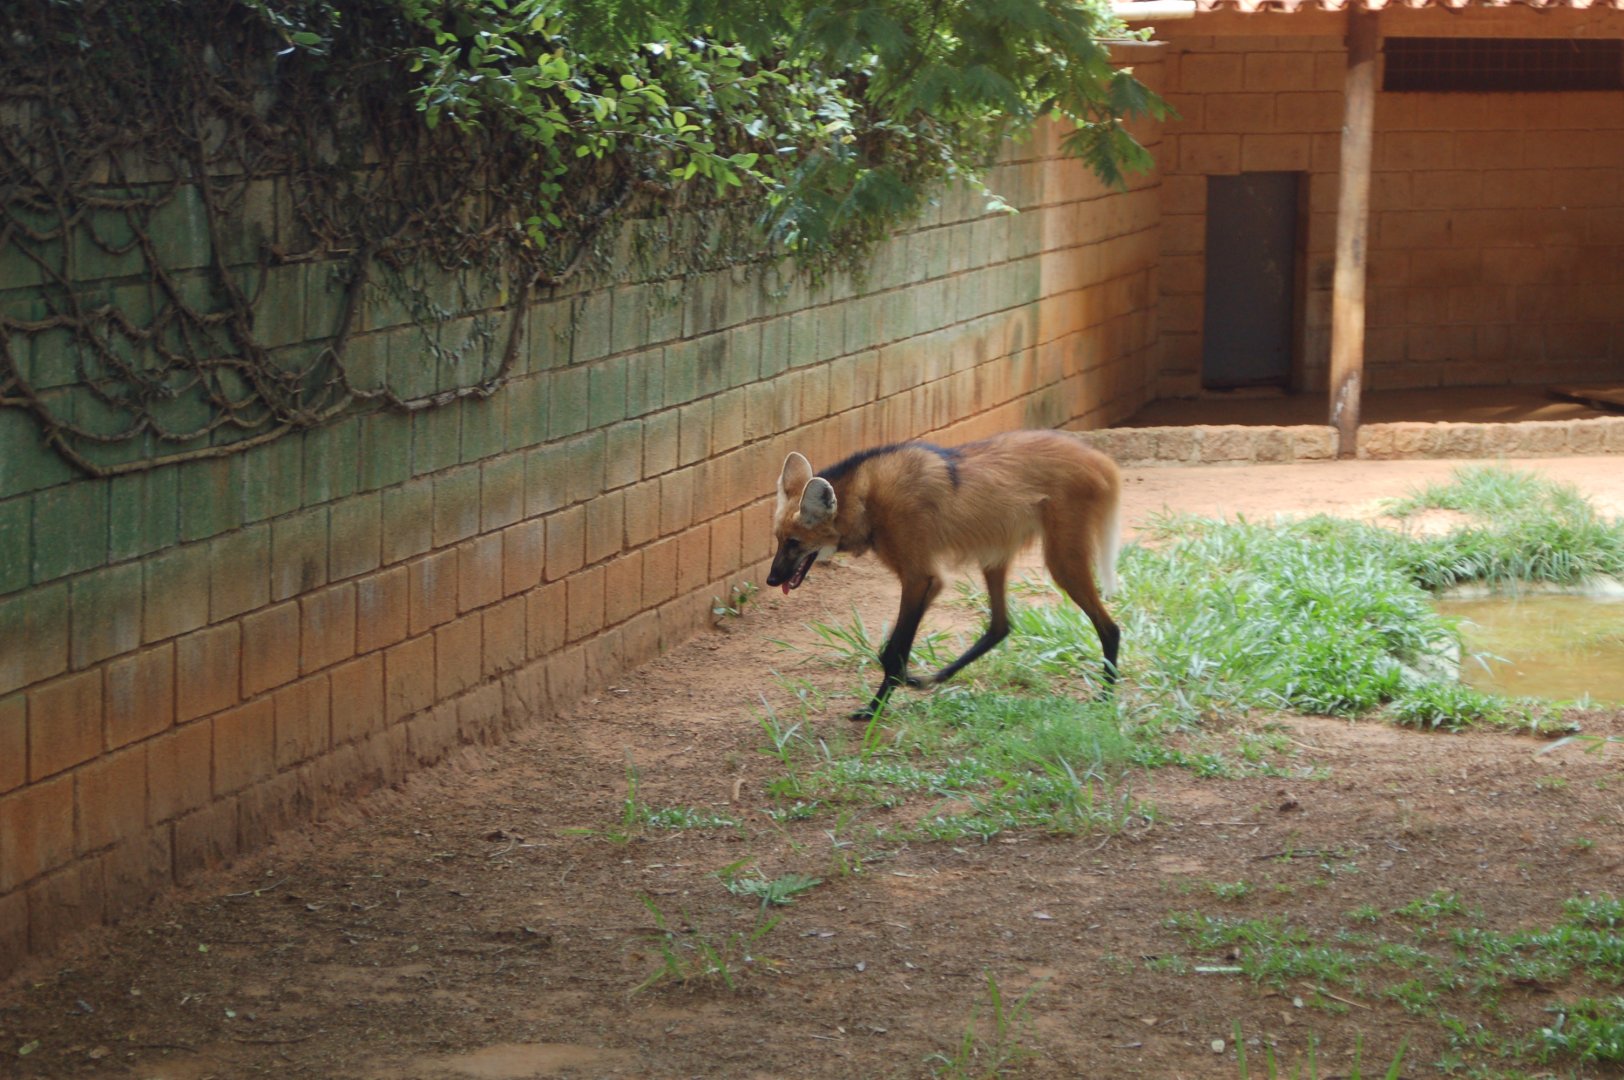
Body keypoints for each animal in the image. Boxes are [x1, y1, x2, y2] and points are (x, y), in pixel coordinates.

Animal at [767, 430, 1122, 720]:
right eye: (778, 539)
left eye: (794, 543)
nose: (771, 580)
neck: (866, 500)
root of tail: (1101, 460)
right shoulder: (930, 580)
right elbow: (891, 648)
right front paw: (904, 680)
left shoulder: (918, 577)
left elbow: (894, 650)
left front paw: (874, 709)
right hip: (994, 551)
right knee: (1000, 625)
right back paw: (934, 678)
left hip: (1061, 561)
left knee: (1111, 628)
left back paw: (1106, 697)